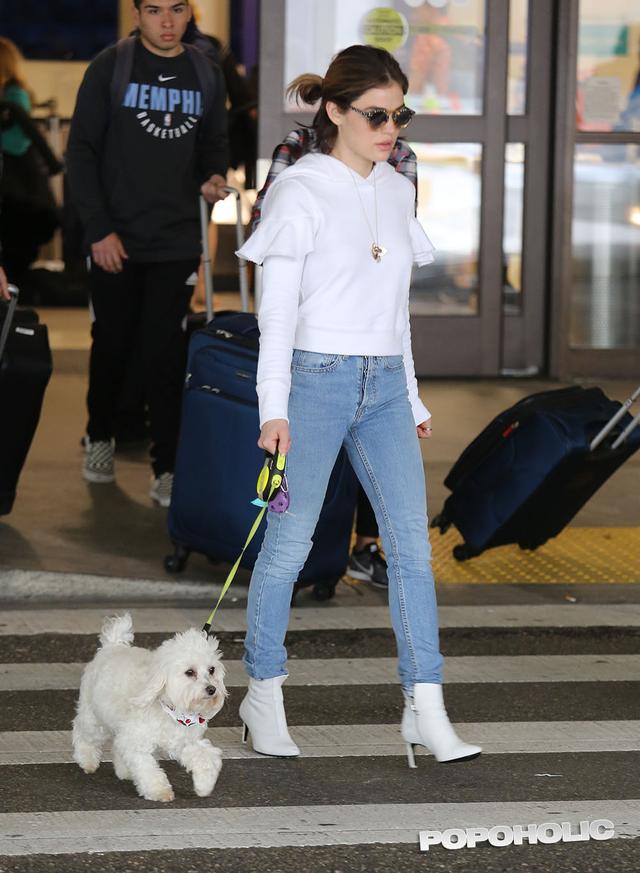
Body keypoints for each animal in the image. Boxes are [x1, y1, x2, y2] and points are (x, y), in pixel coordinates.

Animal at [72, 613, 227, 802]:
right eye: (190, 672)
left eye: (212, 670)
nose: (212, 689)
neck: (172, 709)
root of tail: (112, 645)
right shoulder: (136, 742)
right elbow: (147, 769)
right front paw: (159, 790)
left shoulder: (183, 740)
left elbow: (206, 757)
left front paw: (204, 785)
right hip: (94, 720)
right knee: (83, 733)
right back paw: (87, 760)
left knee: (116, 745)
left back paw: (125, 771)